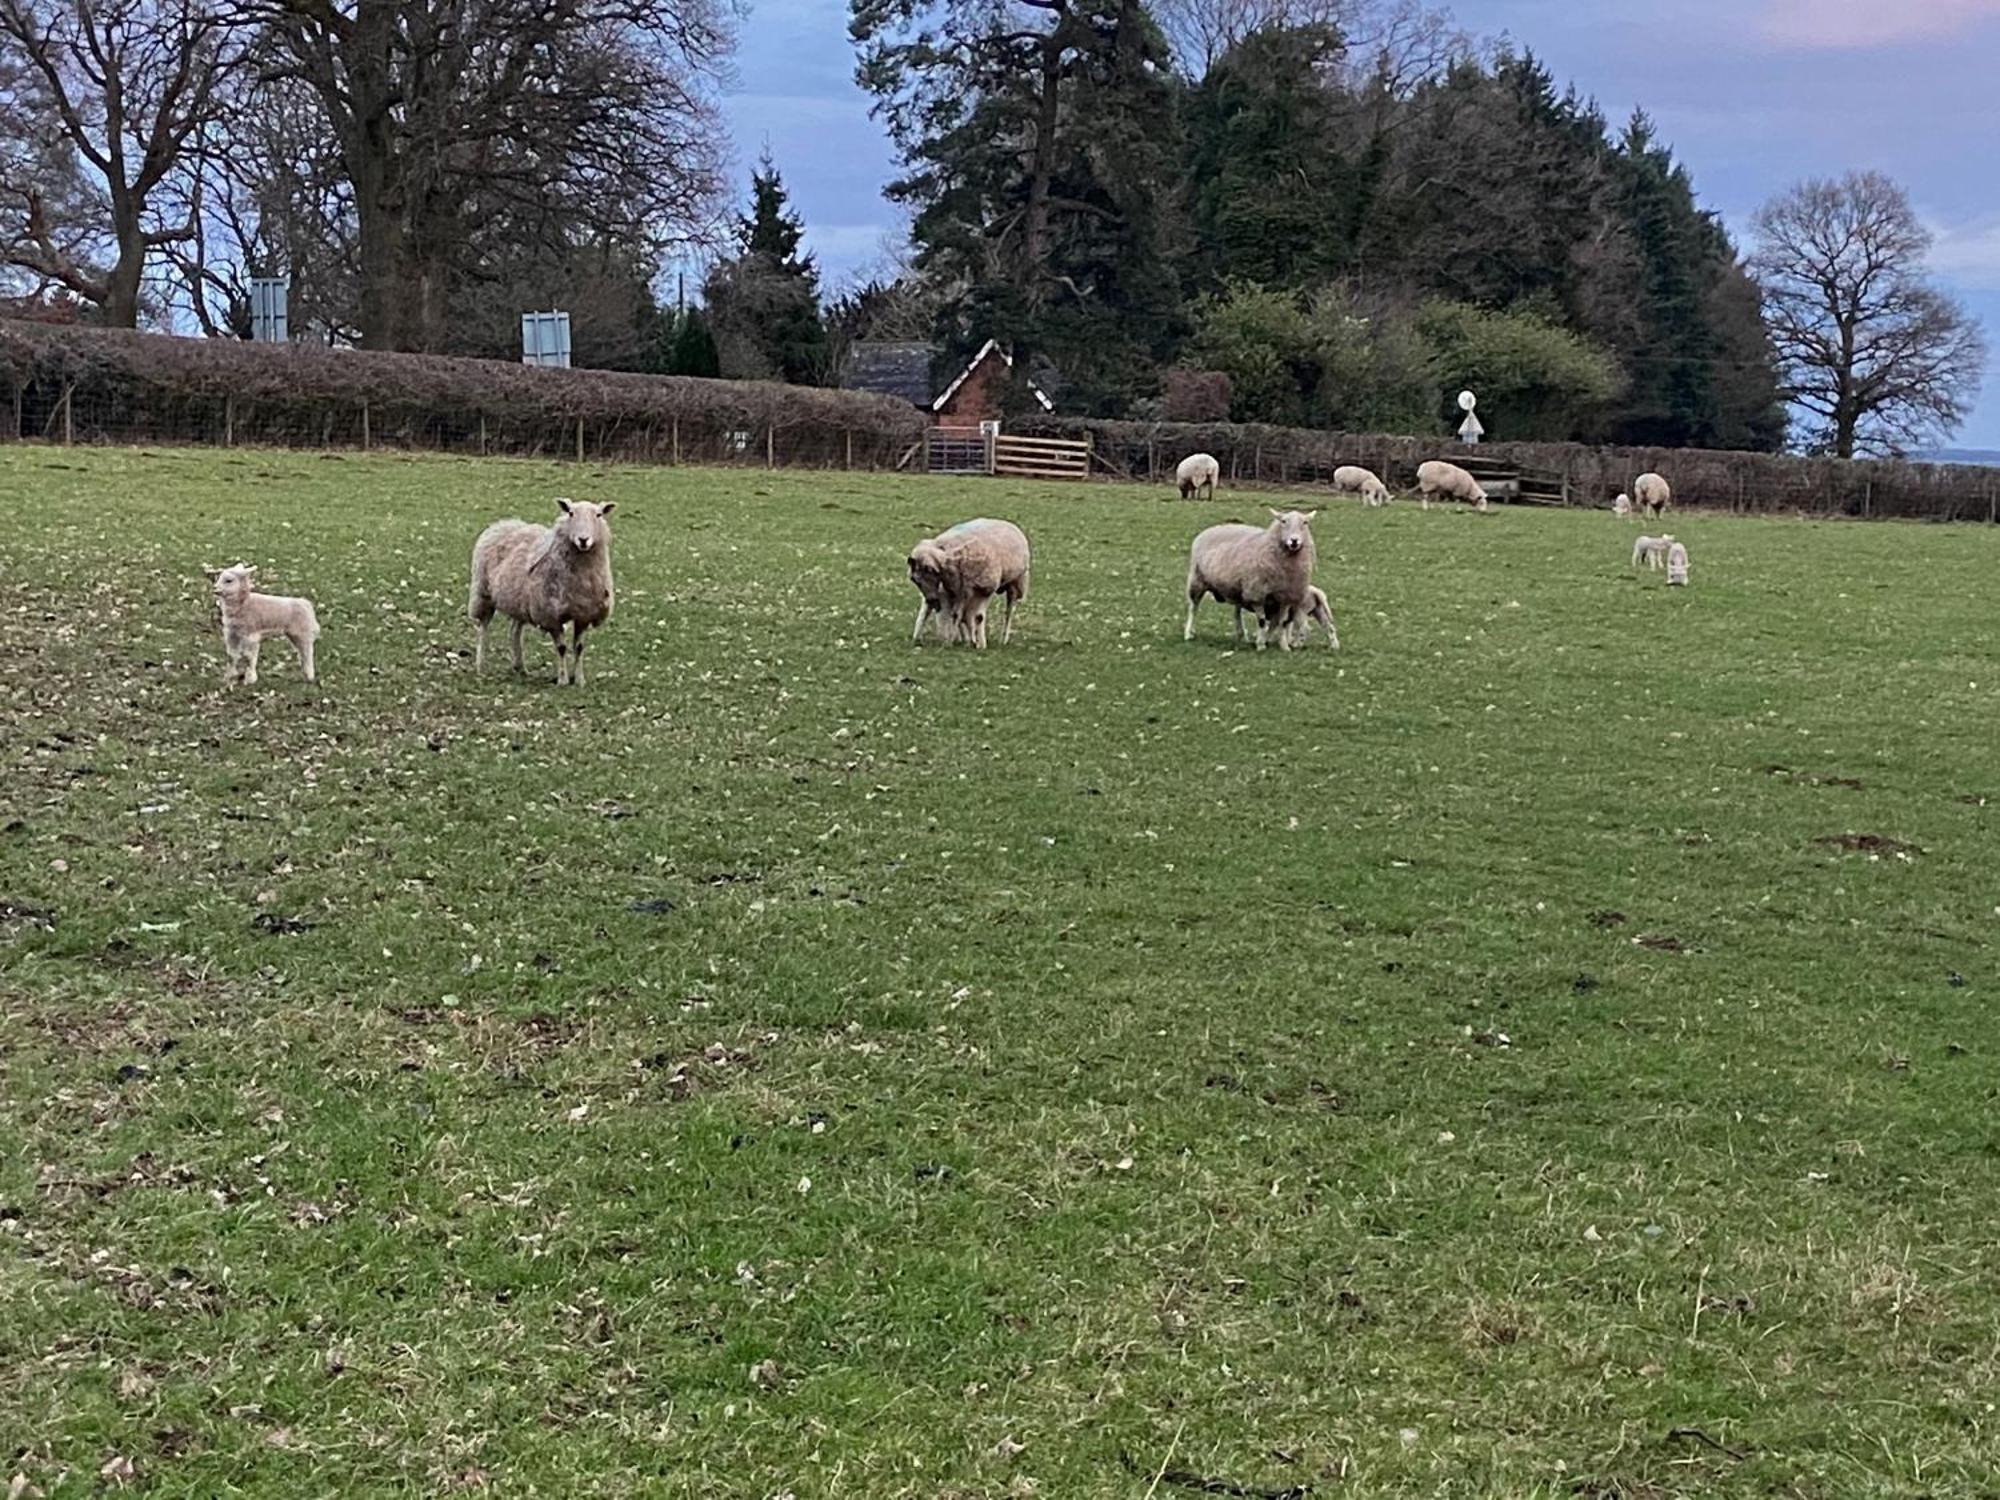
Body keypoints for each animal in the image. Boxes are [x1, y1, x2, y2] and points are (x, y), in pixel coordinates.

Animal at [470, 496, 616, 692]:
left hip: (520, 601)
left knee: (514, 631)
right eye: (571, 513)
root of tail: (503, 523)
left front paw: (579, 679)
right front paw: (563, 680)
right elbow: (561, 648)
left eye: (598, 515)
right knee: (483, 629)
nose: (583, 540)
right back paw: (481, 666)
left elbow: (579, 647)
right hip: (483, 593)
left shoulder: (583, 614)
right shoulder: (550, 615)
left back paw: (520, 667)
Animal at [908, 516, 1032, 648]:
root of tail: (1008, 523)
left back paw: (1002, 639)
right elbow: (958, 615)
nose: (931, 600)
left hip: (1016, 582)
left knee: (1008, 611)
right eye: (915, 580)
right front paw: (960, 640)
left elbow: (977, 617)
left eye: (927, 574)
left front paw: (978, 644)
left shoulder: (982, 589)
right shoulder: (958, 590)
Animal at [1176, 512, 1320, 652]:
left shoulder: (1286, 598)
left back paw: (1242, 636)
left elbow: (1280, 623)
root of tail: (1210, 529)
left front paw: (1283, 645)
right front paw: (1261, 644)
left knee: (1237, 613)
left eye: (1305, 522)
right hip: (1197, 581)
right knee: (1193, 608)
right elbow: (1262, 621)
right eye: (1283, 521)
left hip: (1237, 589)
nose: (1294, 541)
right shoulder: (1257, 594)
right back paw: (1188, 633)